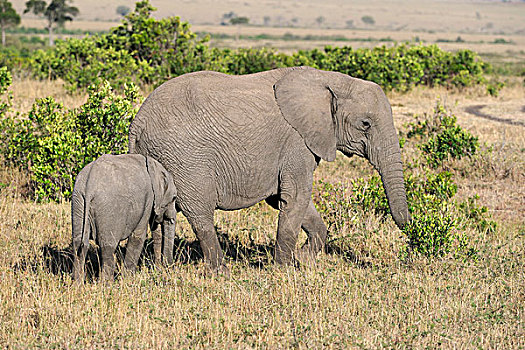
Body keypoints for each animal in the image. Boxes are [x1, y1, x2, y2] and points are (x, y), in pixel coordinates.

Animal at [70, 154, 177, 282]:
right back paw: (107, 284)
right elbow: (138, 236)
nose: (167, 269)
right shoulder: (148, 198)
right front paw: (129, 280)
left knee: (78, 243)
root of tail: (89, 183)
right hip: (109, 207)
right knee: (108, 247)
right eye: (174, 198)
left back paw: (77, 284)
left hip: (78, 201)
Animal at [128, 65, 410, 274]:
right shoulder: (297, 142)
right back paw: (221, 272)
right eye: (366, 124)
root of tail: (137, 122)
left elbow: (287, 201)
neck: (331, 80)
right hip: (186, 158)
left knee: (161, 215)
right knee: (200, 213)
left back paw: (160, 268)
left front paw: (303, 261)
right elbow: (295, 197)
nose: (409, 226)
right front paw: (283, 270)